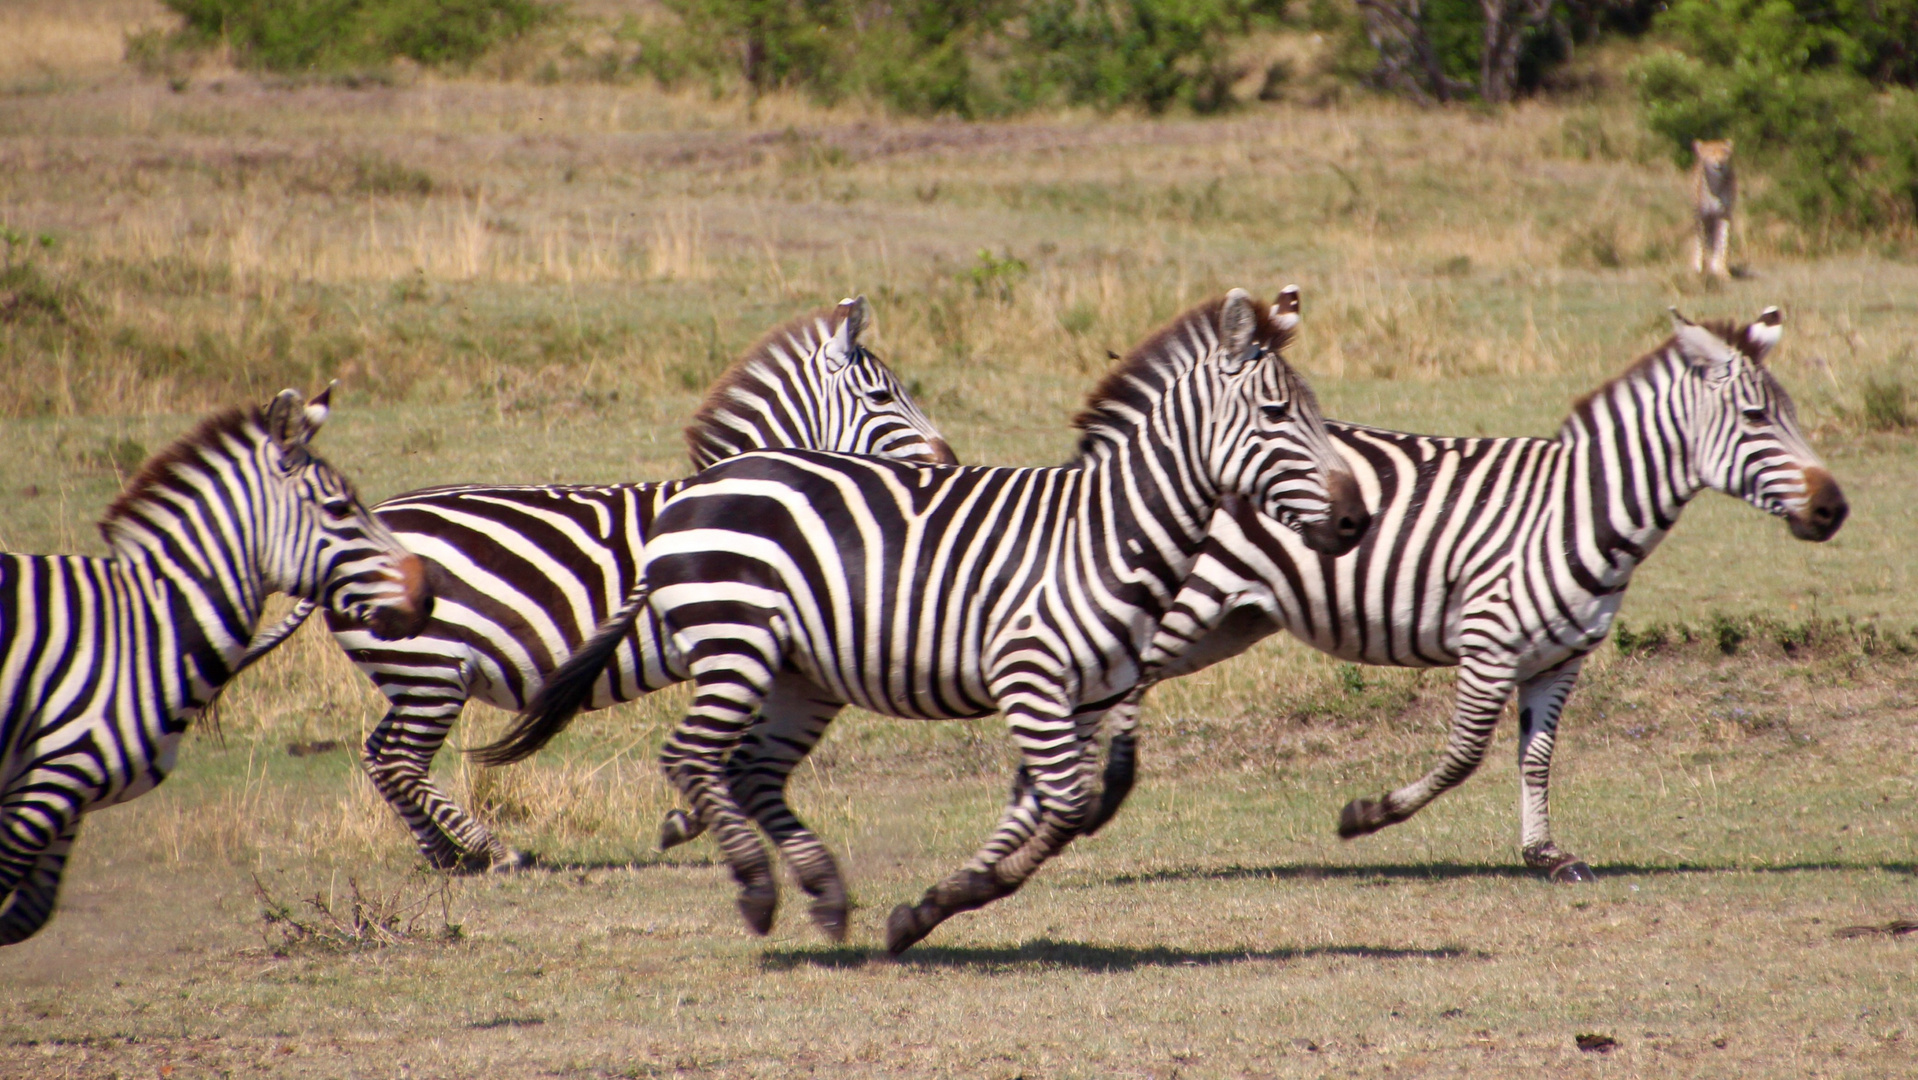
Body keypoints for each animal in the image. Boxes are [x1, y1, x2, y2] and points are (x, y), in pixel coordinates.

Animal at [2, 391, 431, 947]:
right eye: (339, 508)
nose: (429, 592)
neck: (144, 622)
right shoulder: (49, 779)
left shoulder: (63, 793)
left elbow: (26, 916)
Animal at [235, 299, 955, 874]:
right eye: (884, 397)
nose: (949, 460)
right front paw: (694, 816)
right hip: (431, 671)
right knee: (400, 762)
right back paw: (493, 850)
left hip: (415, 674)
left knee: (378, 755)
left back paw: (444, 854)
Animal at [475, 289, 1380, 955]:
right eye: (1276, 415)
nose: (1356, 521)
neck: (1105, 530)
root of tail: (695, 492)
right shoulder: (1029, 678)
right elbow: (1065, 809)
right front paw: (943, 902)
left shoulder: (1084, 701)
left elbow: (1042, 815)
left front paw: (927, 909)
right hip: (737, 647)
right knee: (691, 756)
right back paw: (758, 891)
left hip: (802, 675)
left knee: (753, 771)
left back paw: (825, 896)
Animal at [1081, 303, 1841, 878]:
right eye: (1755, 418)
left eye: (1788, 413)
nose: (1834, 509)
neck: (1579, 509)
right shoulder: (1489, 645)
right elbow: (1463, 757)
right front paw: (1366, 816)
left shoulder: (1559, 661)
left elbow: (1536, 758)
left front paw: (1544, 853)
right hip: (1188, 606)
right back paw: (1095, 795)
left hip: (1228, 623)